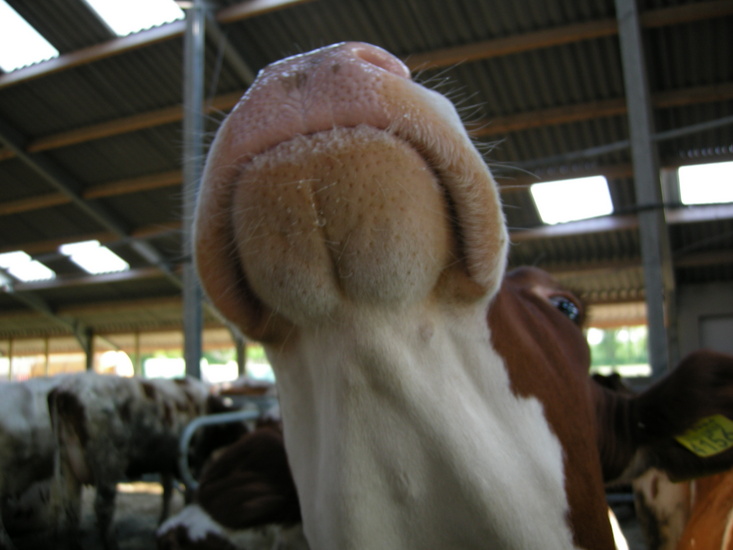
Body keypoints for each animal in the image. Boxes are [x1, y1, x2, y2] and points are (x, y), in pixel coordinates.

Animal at [47, 373, 245, 550]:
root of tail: (65, 389)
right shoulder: (194, 459)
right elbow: (189, 494)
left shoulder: (167, 461)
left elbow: (167, 492)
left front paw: (162, 523)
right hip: (107, 462)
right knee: (103, 507)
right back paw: (112, 544)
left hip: (67, 464)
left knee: (72, 508)